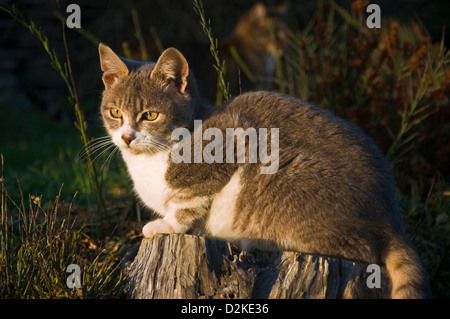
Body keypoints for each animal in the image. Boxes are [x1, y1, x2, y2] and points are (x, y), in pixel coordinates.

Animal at [99, 43, 432, 300]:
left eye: (150, 115)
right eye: (115, 112)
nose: (127, 137)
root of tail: (391, 221)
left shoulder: (229, 139)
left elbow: (186, 204)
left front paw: (162, 225)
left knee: (362, 251)